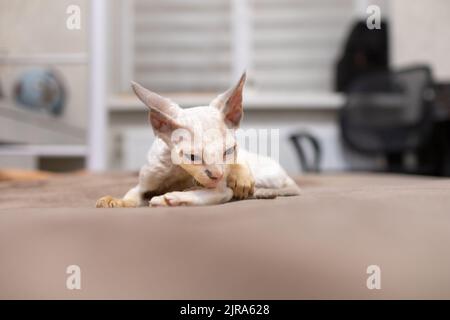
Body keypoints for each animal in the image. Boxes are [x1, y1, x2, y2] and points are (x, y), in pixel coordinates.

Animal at [95, 73, 298, 208]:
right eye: (192, 157)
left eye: (228, 151)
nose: (217, 175)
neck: (178, 174)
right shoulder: (147, 181)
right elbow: (133, 194)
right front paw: (116, 201)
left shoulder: (221, 189)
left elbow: (204, 194)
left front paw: (171, 199)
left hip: (268, 176)